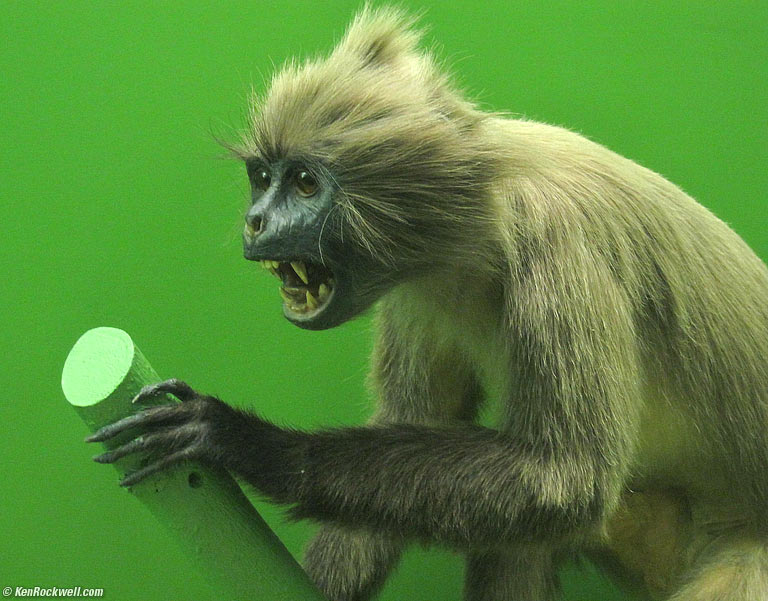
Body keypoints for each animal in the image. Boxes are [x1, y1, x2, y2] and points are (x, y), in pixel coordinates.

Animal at [86, 7, 768, 601]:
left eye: (304, 183)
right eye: (261, 178)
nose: (255, 221)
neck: (483, 218)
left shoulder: (558, 235)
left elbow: (568, 481)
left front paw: (254, 445)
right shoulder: (421, 285)